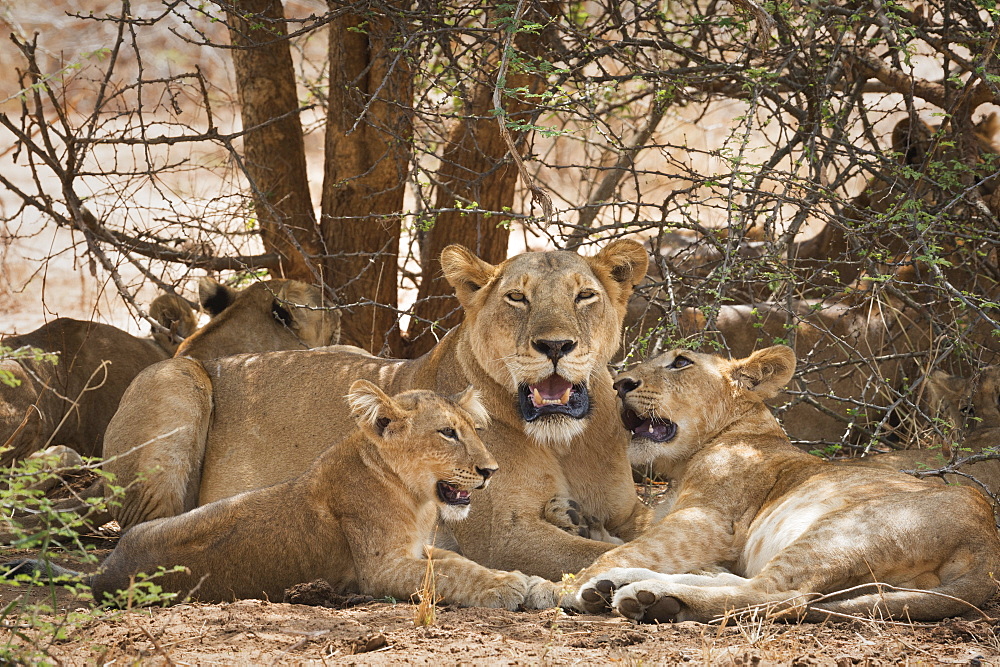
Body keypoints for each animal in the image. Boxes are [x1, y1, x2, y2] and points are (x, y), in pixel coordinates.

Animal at [3, 380, 548, 612]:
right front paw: (507, 589)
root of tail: (102, 574)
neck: (413, 497)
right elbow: (452, 574)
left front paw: (531, 583)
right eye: (447, 434)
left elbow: (463, 564)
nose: (491, 471)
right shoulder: (381, 571)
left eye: (474, 430)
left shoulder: (417, 550)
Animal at [99, 240, 648, 580]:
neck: (565, 441)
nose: (555, 345)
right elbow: (607, 553)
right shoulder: (501, 536)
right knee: (146, 524)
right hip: (177, 380)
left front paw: (579, 520)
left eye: (585, 296)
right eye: (517, 298)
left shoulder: (627, 509)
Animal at [536, 348, 1000, 624]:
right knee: (745, 582)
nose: (620, 384)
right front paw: (571, 517)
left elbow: (631, 545)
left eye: (680, 362)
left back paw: (648, 597)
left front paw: (566, 585)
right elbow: (633, 535)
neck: (682, 466)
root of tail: (988, 547)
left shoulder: (707, 520)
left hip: (843, 529)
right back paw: (623, 585)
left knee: (776, 594)